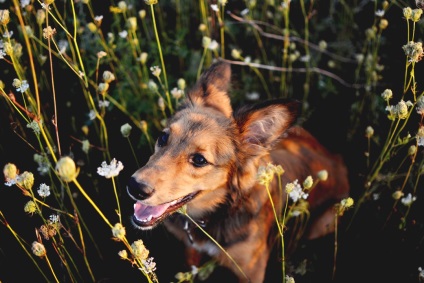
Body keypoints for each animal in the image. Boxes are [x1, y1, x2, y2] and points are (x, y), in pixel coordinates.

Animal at [126, 61, 352, 282]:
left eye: (199, 160)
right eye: (163, 138)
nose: (135, 187)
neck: (215, 215)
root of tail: (338, 159)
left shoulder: (252, 271)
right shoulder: (190, 250)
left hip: (324, 221)